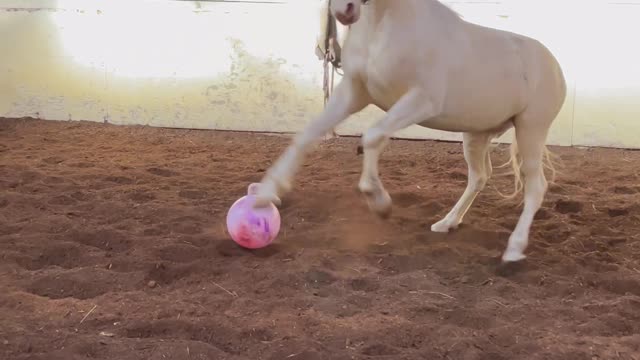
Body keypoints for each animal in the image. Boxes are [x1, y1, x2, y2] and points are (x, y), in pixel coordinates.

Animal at [255, 0, 564, 264]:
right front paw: (263, 196)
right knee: (479, 177)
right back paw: (446, 223)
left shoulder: (421, 100)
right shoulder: (354, 93)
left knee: (536, 186)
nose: (345, 10)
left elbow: (372, 137)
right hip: (477, 135)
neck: (383, 26)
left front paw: (379, 202)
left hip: (531, 131)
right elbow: (306, 136)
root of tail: (555, 67)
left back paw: (513, 250)